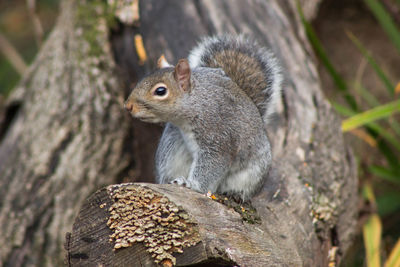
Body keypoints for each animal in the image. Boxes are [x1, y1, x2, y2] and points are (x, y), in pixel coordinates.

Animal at [124, 34, 282, 200]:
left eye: (160, 91)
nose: (128, 106)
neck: (198, 103)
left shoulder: (218, 137)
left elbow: (212, 165)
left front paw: (191, 184)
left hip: (252, 173)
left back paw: (236, 193)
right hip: (172, 146)